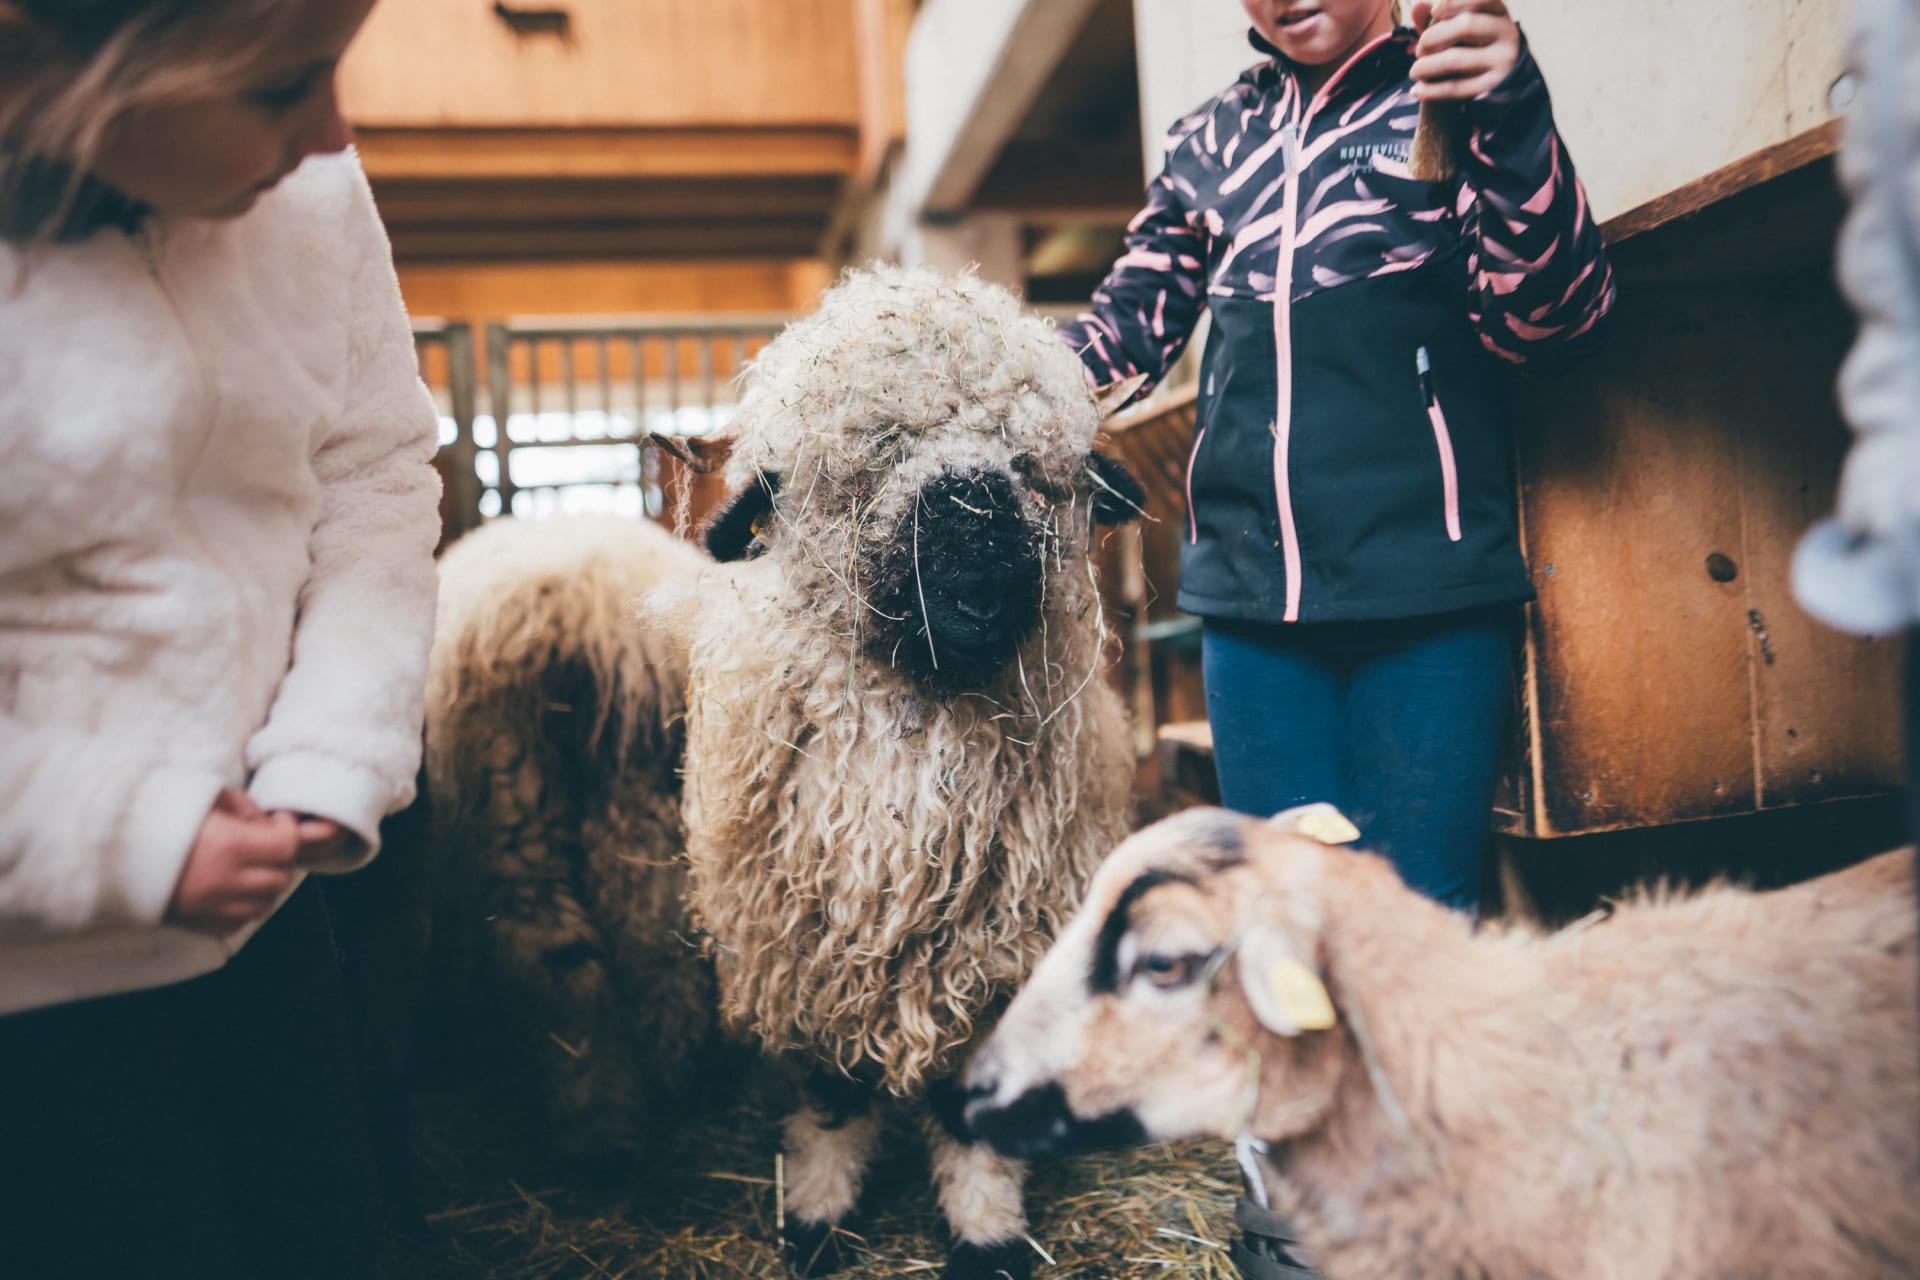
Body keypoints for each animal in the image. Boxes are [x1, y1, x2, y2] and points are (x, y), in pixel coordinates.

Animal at [667, 264, 1145, 1278]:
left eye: (1031, 461)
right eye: (868, 461)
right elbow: (829, 1097)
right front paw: (814, 1213)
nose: (977, 509)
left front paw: (987, 1230)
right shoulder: (803, 945)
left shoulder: (997, 954)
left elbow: (972, 1117)